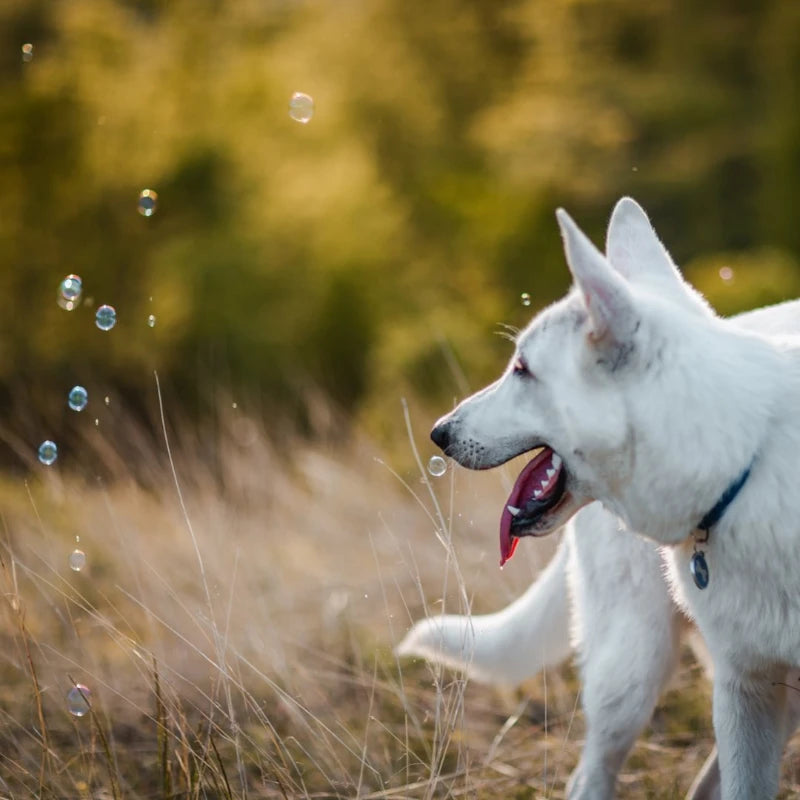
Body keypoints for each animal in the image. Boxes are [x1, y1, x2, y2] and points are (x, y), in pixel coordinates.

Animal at [404, 197, 800, 796]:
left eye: (522, 369)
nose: (438, 433)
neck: (745, 457)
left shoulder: (753, 689)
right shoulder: (746, 685)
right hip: (632, 672)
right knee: (591, 776)